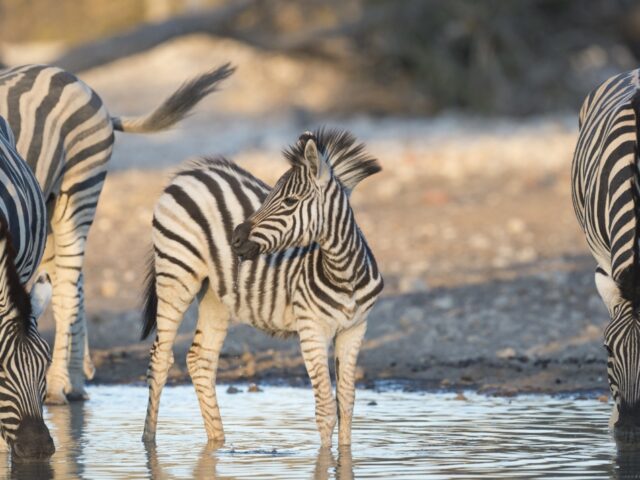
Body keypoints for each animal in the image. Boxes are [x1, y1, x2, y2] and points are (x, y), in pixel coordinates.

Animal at [0, 62, 235, 404]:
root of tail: (68, 75)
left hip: (78, 190)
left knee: (66, 288)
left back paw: (59, 386)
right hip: (48, 208)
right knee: (68, 280)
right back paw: (75, 380)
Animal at [141, 130, 384, 446]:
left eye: (290, 201)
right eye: (270, 196)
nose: (235, 239)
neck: (345, 275)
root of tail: (188, 173)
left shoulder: (355, 330)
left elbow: (346, 403)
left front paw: (345, 453)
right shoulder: (311, 329)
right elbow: (326, 409)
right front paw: (325, 455)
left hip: (214, 293)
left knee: (200, 360)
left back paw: (218, 441)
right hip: (175, 272)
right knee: (159, 359)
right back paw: (148, 440)